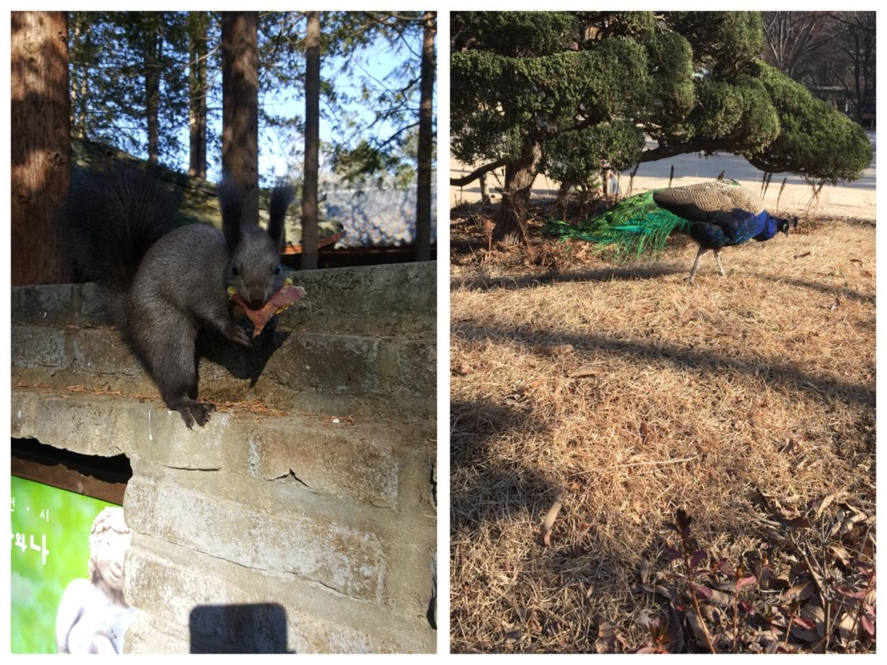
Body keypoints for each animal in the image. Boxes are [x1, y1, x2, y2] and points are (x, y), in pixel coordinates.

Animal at [67, 163, 294, 428]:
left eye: (277, 269)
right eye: (235, 269)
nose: (257, 297)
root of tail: (128, 309)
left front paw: (269, 327)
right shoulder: (199, 285)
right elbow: (208, 310)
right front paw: (232, 330)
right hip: (163, 323)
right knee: (173, 366)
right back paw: (187, 403)